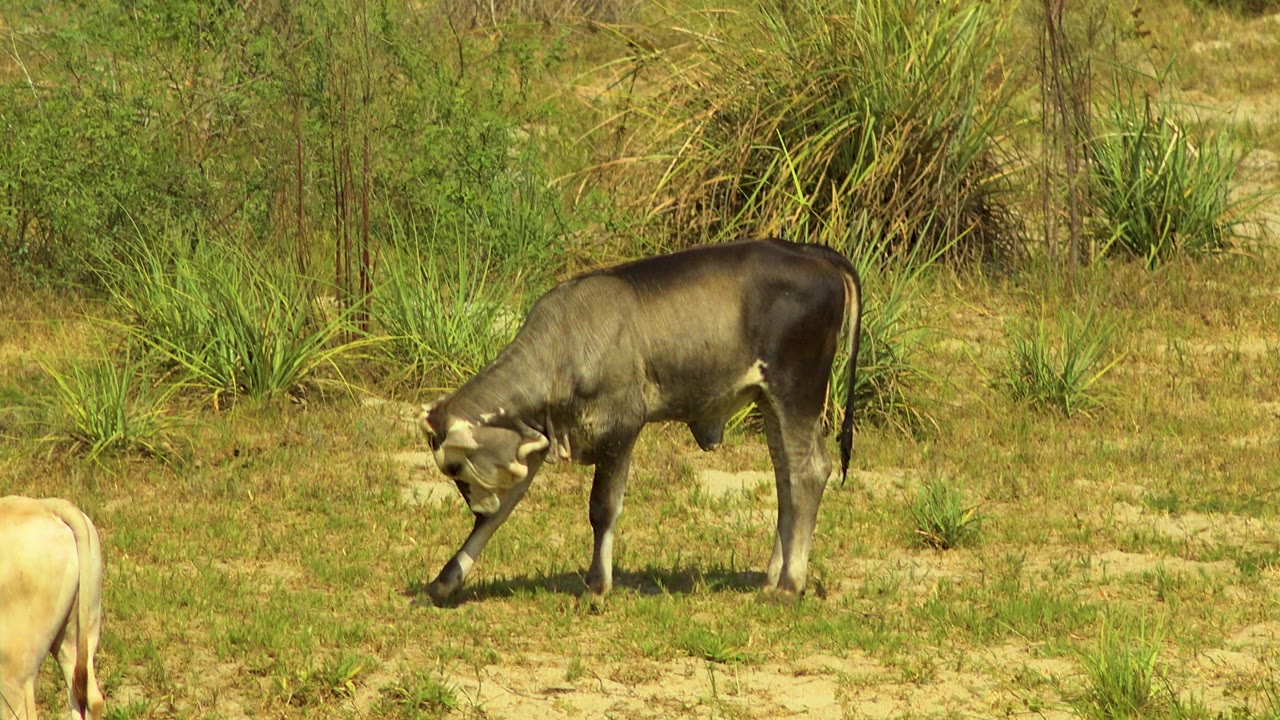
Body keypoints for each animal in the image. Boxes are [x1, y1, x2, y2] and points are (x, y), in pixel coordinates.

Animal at [417, 238, 862, 605]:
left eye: (454, 466)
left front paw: (597, 587)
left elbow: (602, 508)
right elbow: (500, 514)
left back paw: (789, 586)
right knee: (786, 479)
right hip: (771, 401)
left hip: (797, 391)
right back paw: (774, 578)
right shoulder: (540, 439)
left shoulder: (621, 427)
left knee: (808, 472)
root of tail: (807, 251)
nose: (476, 503)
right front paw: (445, 581)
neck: (563, 346)